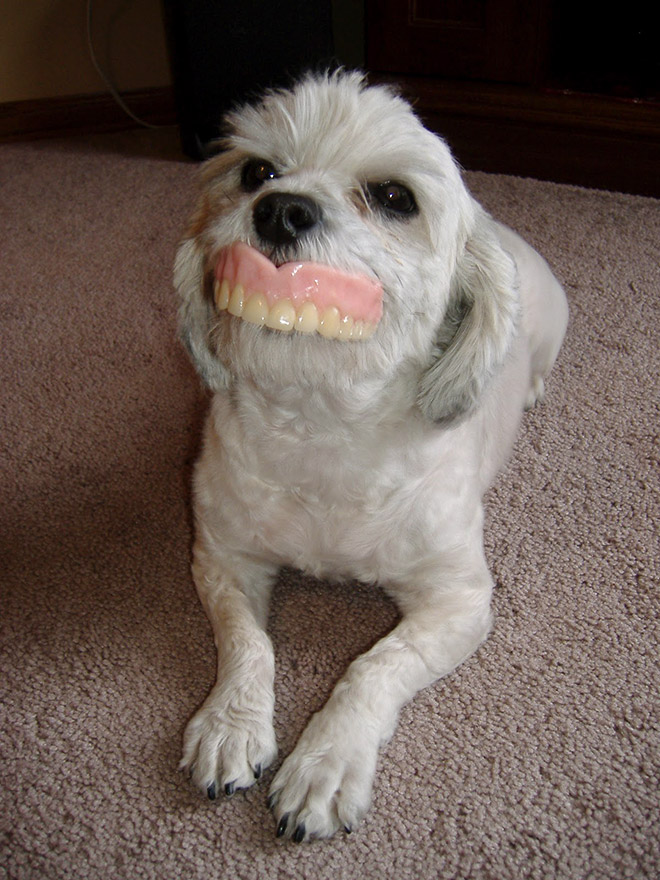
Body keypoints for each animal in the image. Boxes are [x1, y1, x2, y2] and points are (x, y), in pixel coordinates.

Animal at [174, 72, 568, 844]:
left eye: (393, 197)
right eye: (257, 173)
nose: (282, 210)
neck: (324, 426)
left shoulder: (458, 602)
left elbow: (374, 667)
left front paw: (326, 763)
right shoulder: (223, 558)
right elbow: (248, 645)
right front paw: (231, 726)